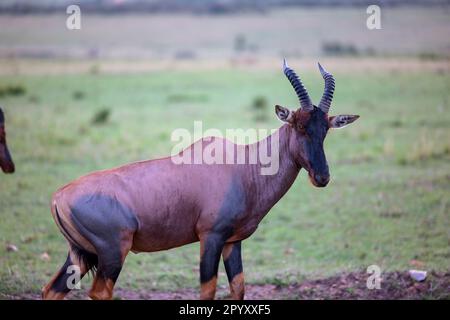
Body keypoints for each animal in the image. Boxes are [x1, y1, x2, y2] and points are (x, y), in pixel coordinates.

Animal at [42, 60, 358, 300]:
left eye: (326, 129)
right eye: (299, 126)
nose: (322, 177)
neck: (243, 166)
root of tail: (59, 197)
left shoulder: (233, 241)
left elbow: (238, 288)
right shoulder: (210, 236)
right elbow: (207, 291)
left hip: (80, 254)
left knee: (51, 289)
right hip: (112, 252)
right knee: (99, 292)